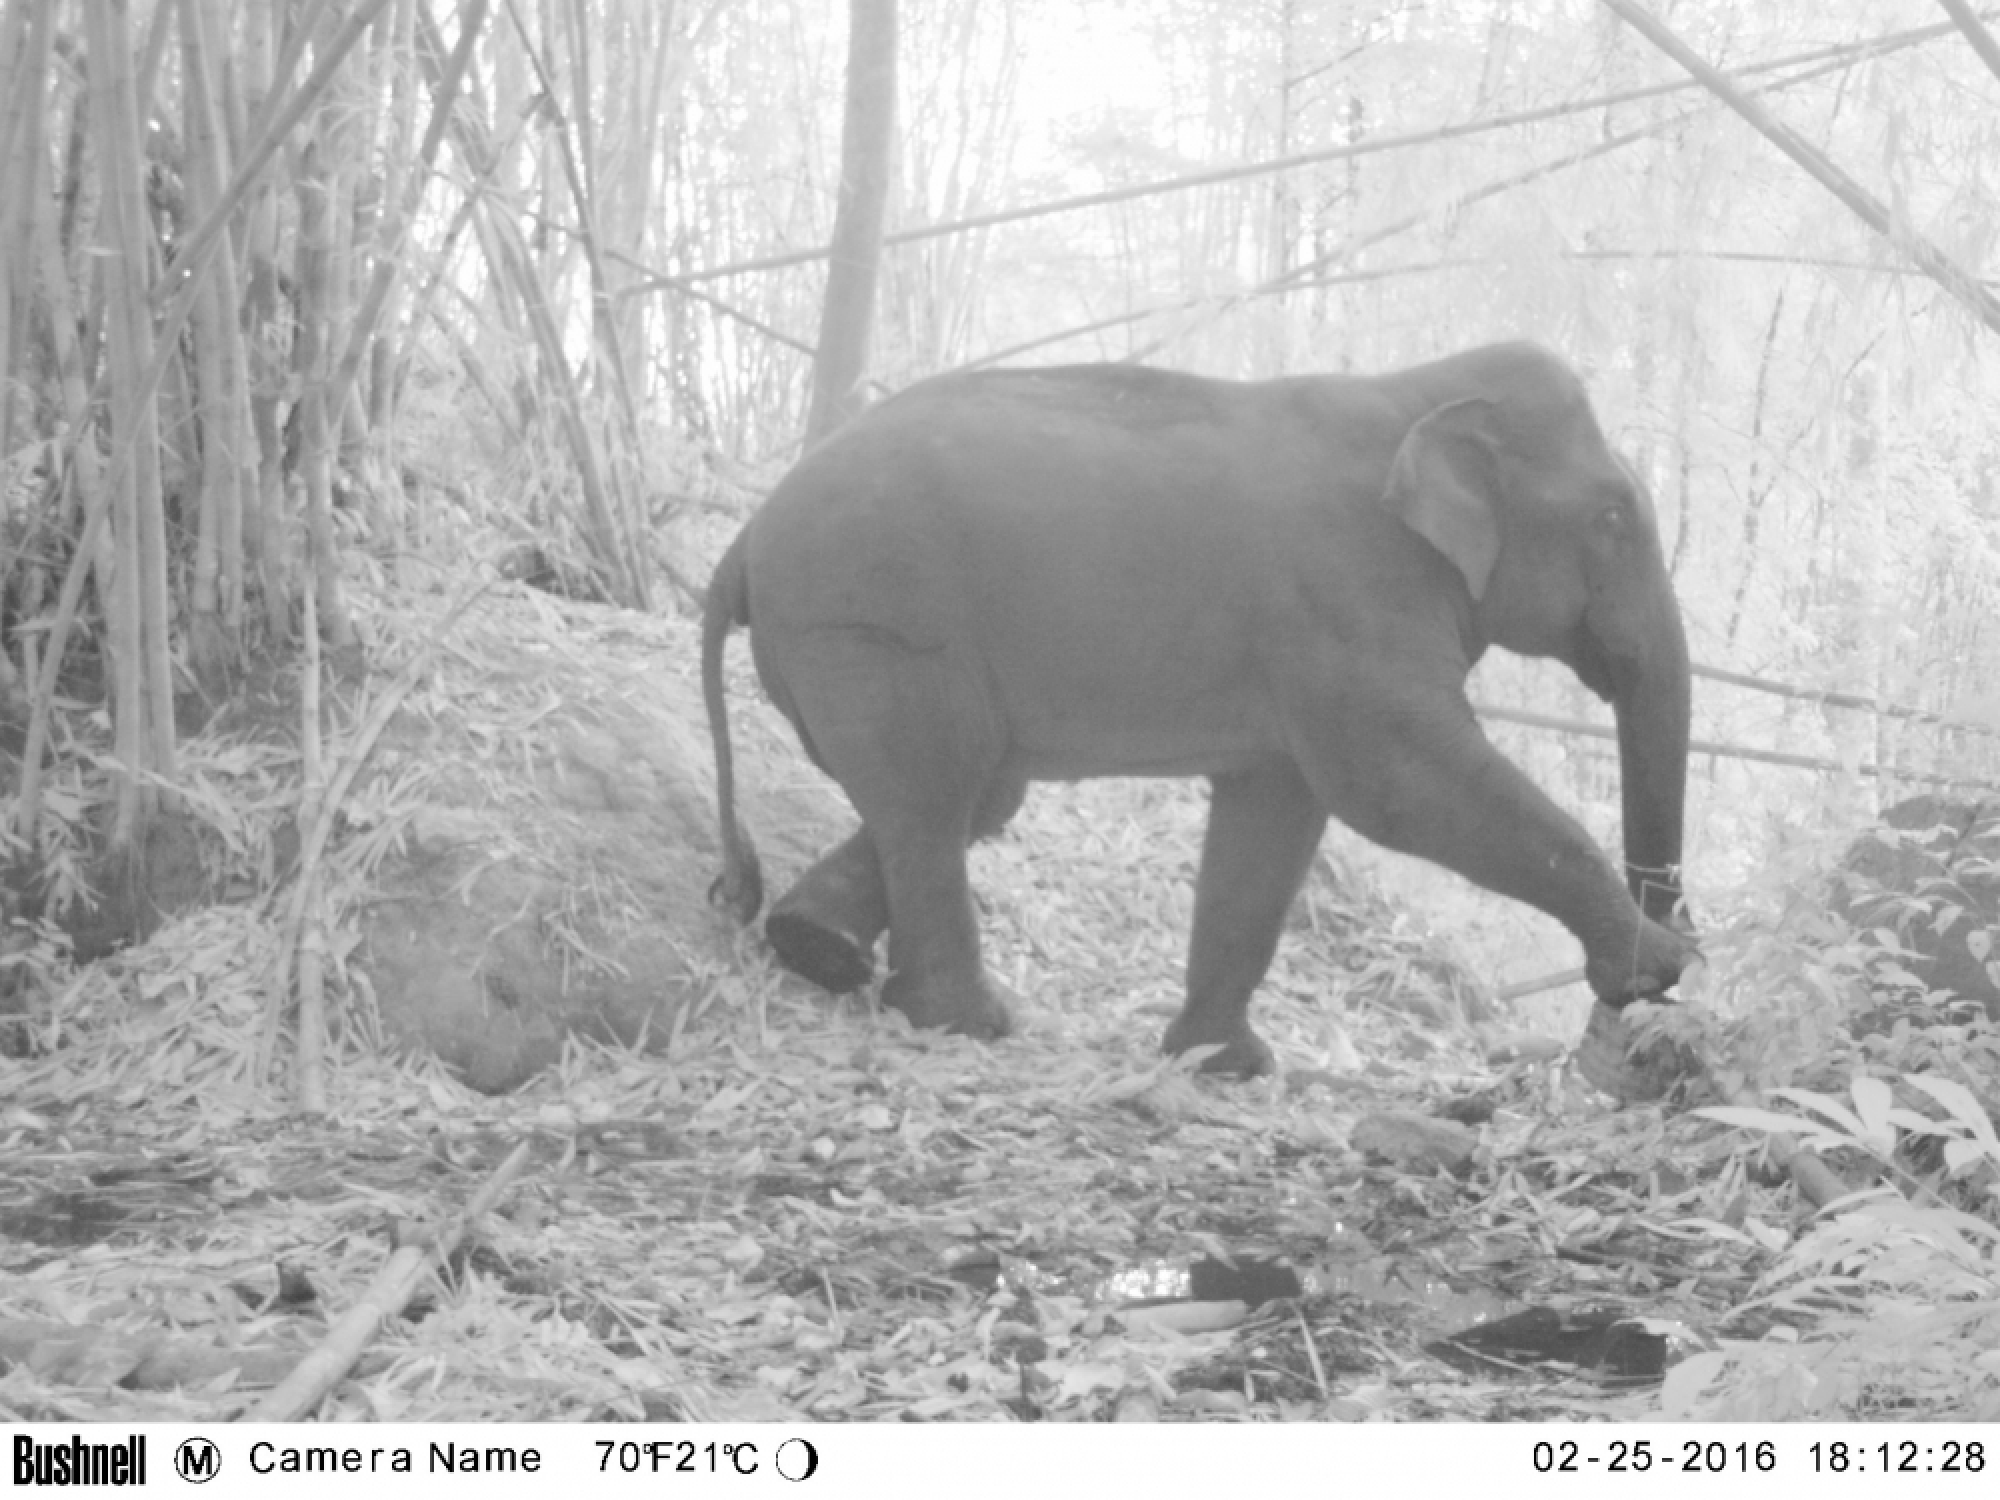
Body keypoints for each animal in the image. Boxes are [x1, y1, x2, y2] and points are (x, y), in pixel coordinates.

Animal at [702, 341, 1698, 1077]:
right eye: (1614, 517)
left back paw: (814, 946)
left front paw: (1227, 1064)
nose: (1680, 945)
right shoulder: (1344, 593)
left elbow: (1275, 817)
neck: (1412, 391)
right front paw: (1655, 964)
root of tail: (740, 541)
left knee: (969, 797)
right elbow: (1397, 782)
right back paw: (968, 1021)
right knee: (936, 795)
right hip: (874, 627)